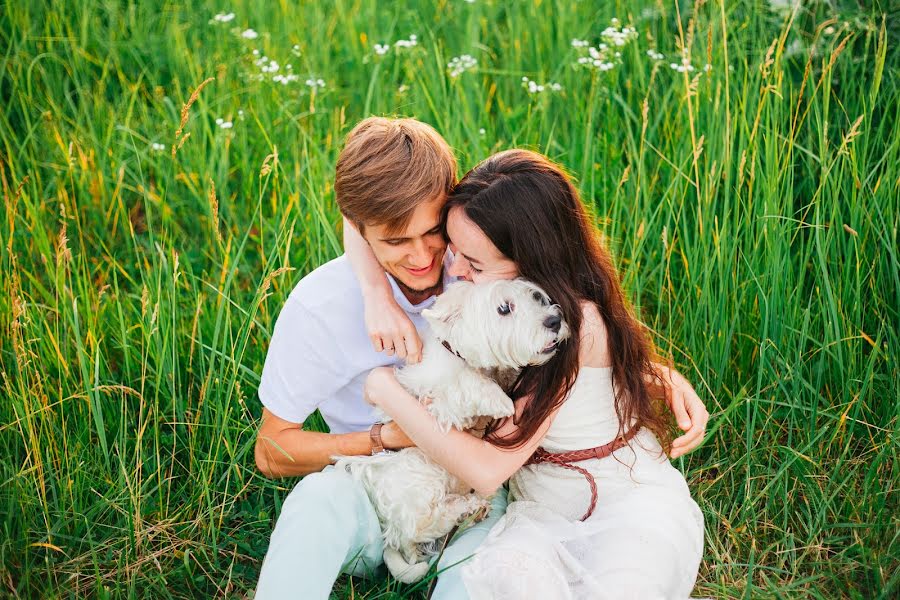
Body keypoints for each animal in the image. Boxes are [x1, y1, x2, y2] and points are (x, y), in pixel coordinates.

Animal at [330, 278, 568, 584]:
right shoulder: (437, 404)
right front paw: (500, 400)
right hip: (418, 478)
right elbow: (468, 384)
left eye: (535, 298)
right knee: (422, 525)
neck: (457, 352)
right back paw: (466, 507)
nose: (555, 321)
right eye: (504, 308)